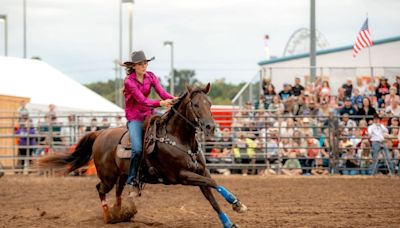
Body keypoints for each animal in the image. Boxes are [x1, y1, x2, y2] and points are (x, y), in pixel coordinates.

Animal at [37, 83, 245, 228]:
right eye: (194, 104)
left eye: (209, 104)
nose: (211, 127)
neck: (179, 139)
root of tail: (100, 133)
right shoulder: (182, 176)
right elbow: (214, 182)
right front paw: (237, 204)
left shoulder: (200, 172)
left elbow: (212, 196)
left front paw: (231, 218)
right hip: (108, 176)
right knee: (100, 189)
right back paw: (109, 216)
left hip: (123, 175)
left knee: (118, 191)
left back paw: (120, 213)